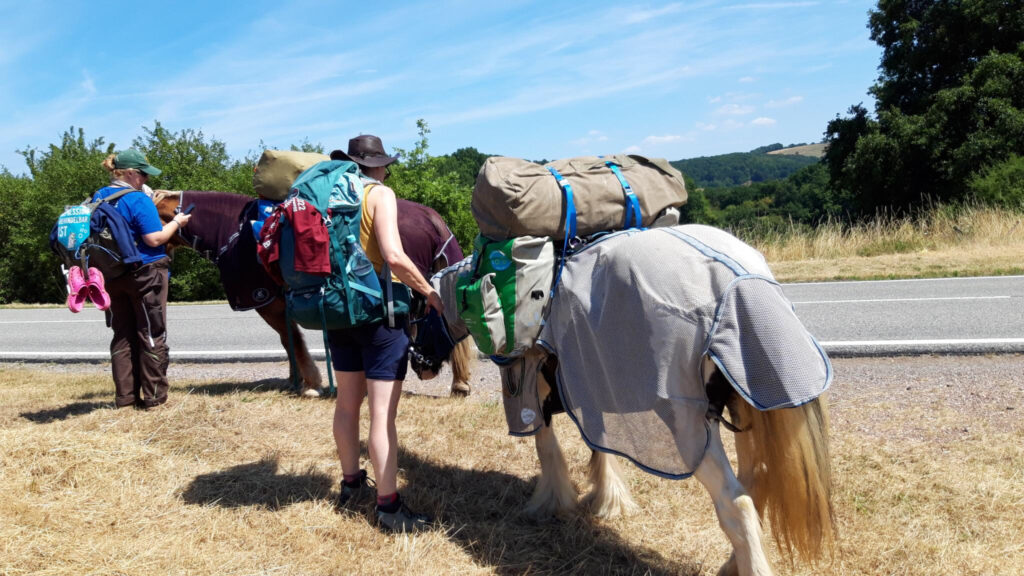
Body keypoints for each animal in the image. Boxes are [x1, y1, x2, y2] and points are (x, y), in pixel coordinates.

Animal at [153, 190, 473, 397]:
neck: (237, 231)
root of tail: (429, 216)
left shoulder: (268, 302)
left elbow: (292, 340)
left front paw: (310, 384)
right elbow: (289, 342)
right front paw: (294, 380)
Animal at [436, 224, 835, 573]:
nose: (427, 366)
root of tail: (742, 283)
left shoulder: (534, 390)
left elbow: (547, 448)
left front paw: (552, 503)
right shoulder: (590, 383)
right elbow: (599, 445)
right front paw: (606, 500)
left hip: (691, 430)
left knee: (736, 504)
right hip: (744, 408)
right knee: (757, 482)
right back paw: (730, 565)